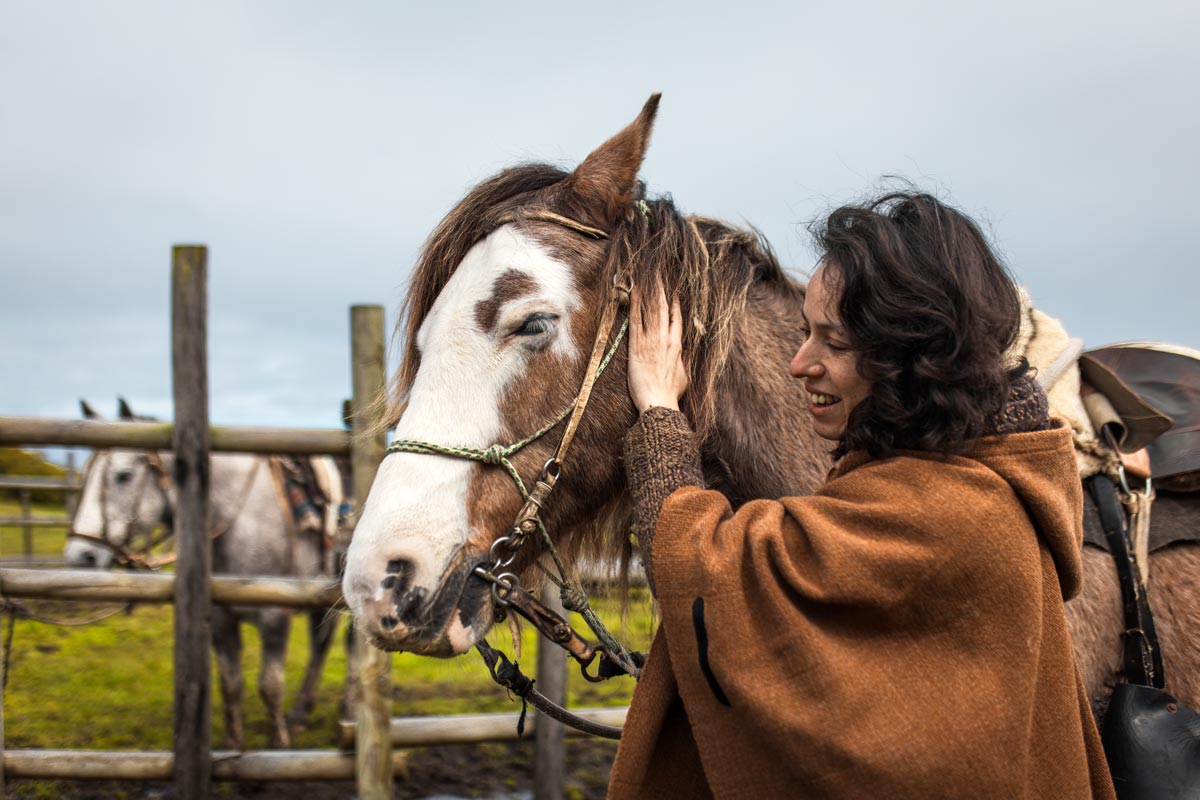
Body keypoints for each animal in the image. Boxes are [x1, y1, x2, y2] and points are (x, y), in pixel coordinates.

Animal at [65, 400, 345, 753]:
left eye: (123, 476)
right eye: (84, 477)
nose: (79, 556)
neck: (239, 520)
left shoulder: (274, 616)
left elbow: (269, 686)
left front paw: (278, 744)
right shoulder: (221, 619)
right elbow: (230, 683)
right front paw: (233, 745)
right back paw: (301, 712)